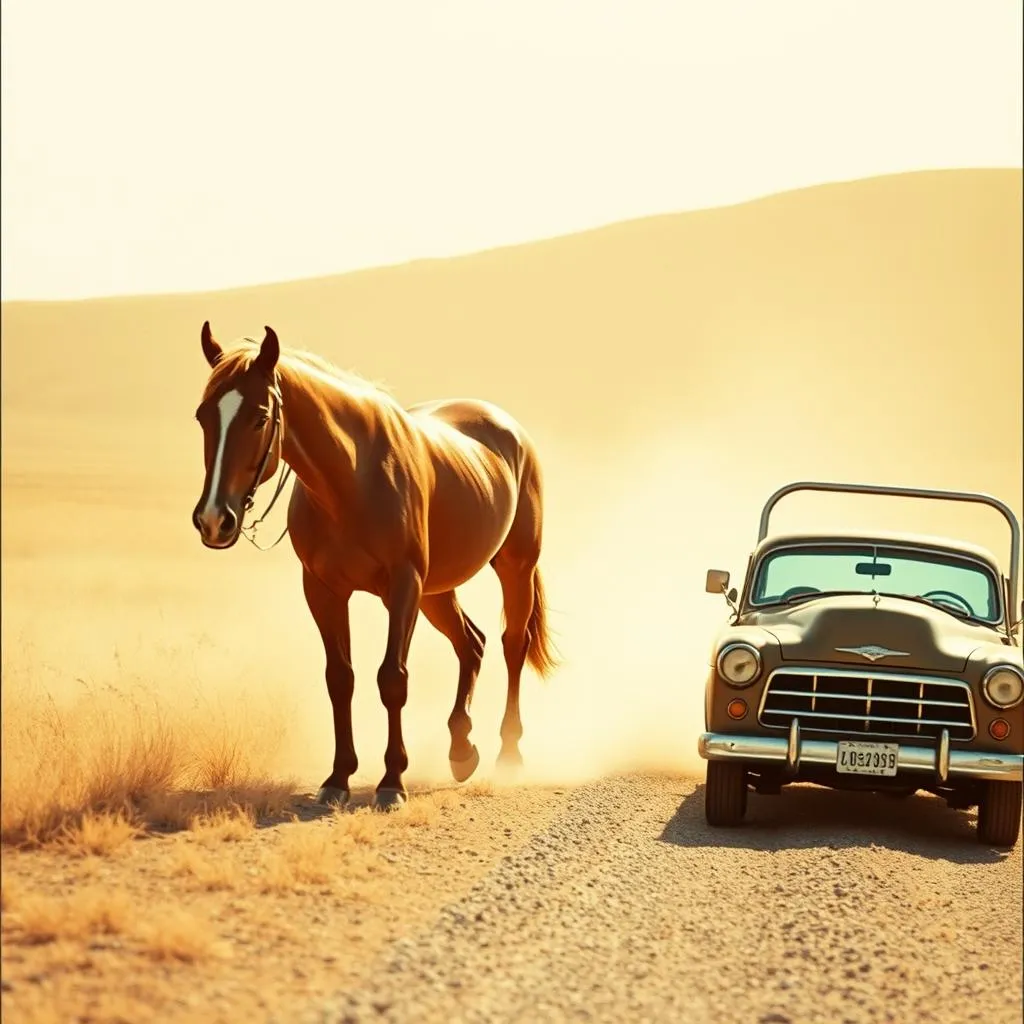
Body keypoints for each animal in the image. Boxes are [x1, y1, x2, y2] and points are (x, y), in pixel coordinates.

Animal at [191, 322, 558, 809]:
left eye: (259, 417)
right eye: (202, 416)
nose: (214, 520)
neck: (353, 480)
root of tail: (509, 429)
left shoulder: (402, 588)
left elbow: (392, 679)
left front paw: (391, 781)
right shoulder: (324, 590)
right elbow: (340, 679)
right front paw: (337, 778)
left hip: (513, 568)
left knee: (511, 644)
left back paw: (509, 755)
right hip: (437, 592)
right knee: (472, 643)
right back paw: (461, 750)